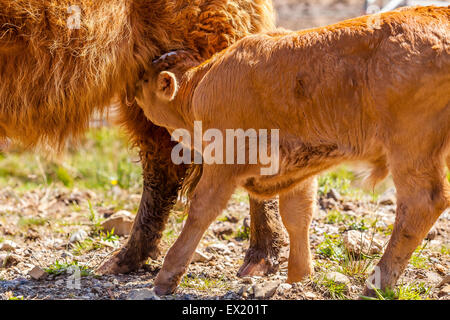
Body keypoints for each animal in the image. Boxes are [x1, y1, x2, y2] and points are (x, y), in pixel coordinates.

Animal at [136, 5, 450, 296]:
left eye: (146, 80)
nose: (134, 90)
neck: (202, 83)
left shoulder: (226, 157)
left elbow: (201, 210)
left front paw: (166, 276)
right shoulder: (299, 166)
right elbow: (297, 214)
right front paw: (299, 276)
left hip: (410, 147)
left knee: (421, 203)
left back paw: (376, 285)